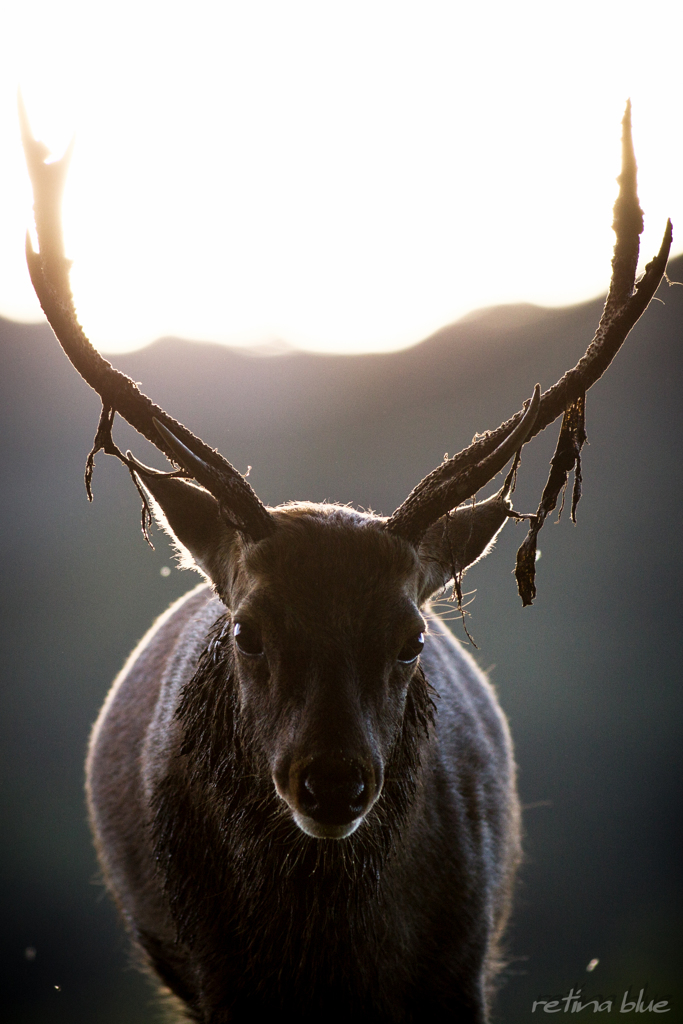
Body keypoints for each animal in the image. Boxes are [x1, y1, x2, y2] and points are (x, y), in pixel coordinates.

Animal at [20, 97, 671, 1024]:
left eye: (412, 639)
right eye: (249, 630)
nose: (332, 782)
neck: (329, 959)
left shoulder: (459, 964)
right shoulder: (219, 978)